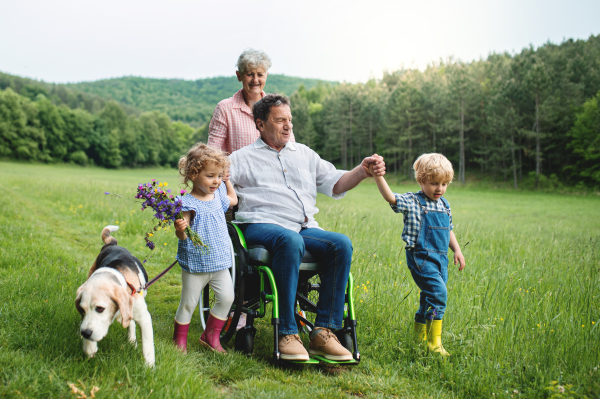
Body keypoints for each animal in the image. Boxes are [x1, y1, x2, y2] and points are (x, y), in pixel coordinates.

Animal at [75, 227, 155, 368]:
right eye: (82, 310)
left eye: (100, 309)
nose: (85, 333)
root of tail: (113, 245)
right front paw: (89, 347)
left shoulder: (144, 318)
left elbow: (147, 347)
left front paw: (149, 367)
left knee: (130, 322)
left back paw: (131, 341)